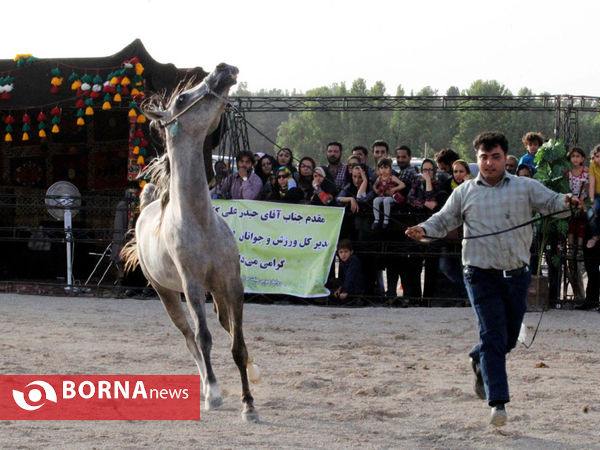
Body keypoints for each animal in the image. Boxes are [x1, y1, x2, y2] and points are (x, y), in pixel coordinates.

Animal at [123, 63, 258, 422]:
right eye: (183, 97)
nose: (223, 70)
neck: (200, 222)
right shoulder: (193, 287)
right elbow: (204, 338)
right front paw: (215, 395)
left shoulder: (232, 285)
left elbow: (238, 344)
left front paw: (249, 403)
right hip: (167, 293)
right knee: (189, 338)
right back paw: (206, 389)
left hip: (215, 293)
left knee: (224, 327)